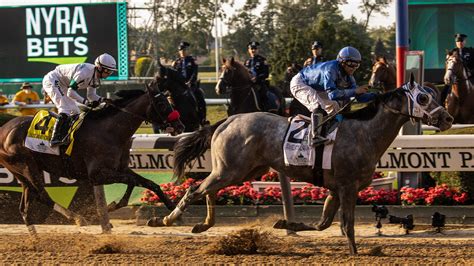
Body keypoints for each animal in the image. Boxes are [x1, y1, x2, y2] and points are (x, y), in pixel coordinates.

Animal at [0, 85, 182, 235]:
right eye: (162, 104)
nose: (180, 126)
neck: (110, 131)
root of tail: (4, 129)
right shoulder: (97, 175)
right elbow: (134, 181)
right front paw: (109, 208)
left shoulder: (121, 168)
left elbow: (148, 183)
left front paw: (172, 210)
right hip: (27, 166)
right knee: (42, 195)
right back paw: (78, 218)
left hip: (23, 171)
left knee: (26, 205)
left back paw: (35, 238)